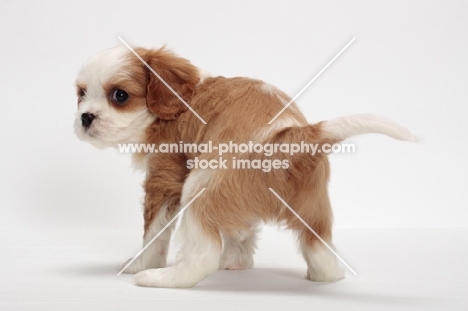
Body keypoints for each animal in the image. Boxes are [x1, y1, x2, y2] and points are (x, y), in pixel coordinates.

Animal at [75, 45, 414, 288]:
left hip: (200, 186)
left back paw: (162, 279)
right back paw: (322, 276)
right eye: (80, 94)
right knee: (320, 248)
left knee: (202, 256)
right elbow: (240, 229)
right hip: (311, 205)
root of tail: (293, 135)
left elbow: (154, 232)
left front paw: (139, 264)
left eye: (119, 96)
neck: (182, 98)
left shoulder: (166, 174)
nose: (85, 117)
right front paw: (239, 261)